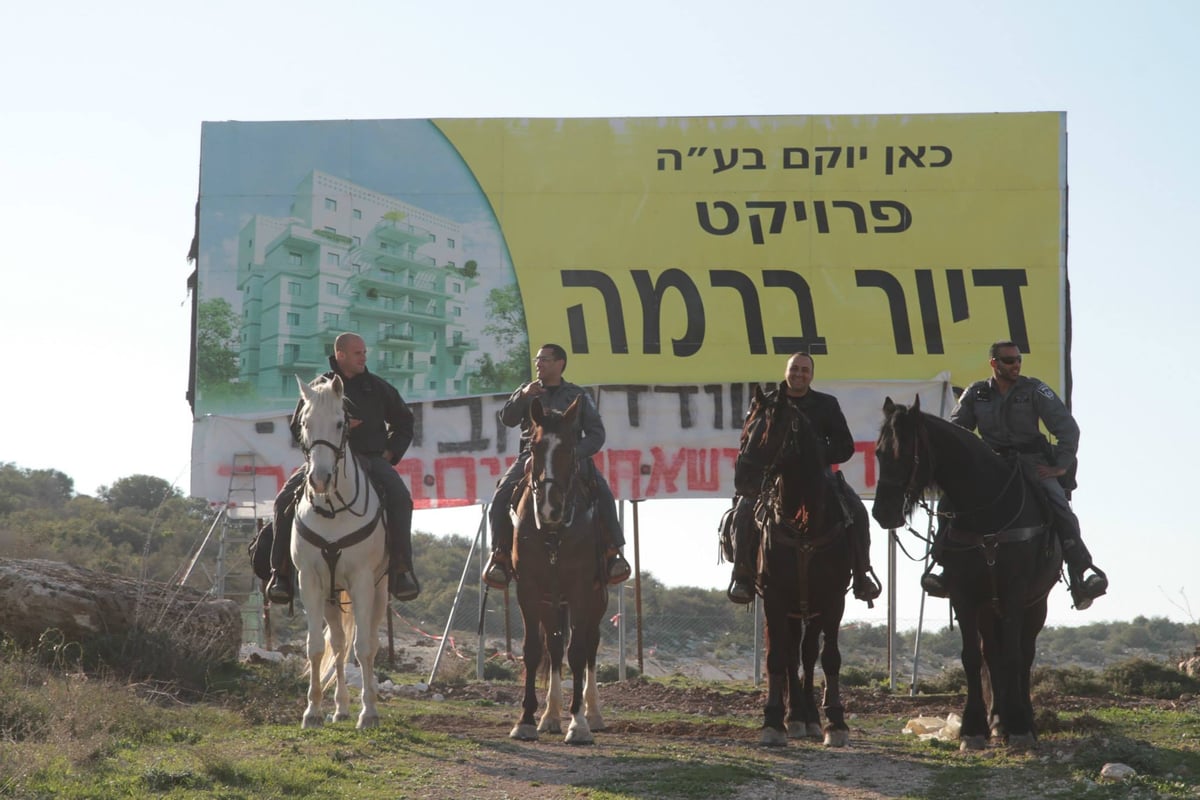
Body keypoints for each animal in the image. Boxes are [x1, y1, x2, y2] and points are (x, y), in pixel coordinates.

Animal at [291, 376, 388, 734]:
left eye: (339, 423)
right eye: (304, 423)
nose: (319, 479)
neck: (333, 510)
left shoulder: (362, 582)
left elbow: (364, 648)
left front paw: (369, 714)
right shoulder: (309, 581)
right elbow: (316, 648)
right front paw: (312, 712)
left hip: (379, 591)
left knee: (368, 643)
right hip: (333, 596)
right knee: (338, 644)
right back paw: (341, 708)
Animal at [506, 398, 609, 743]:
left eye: (568, 448)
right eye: (535, 448)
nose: (550, 508)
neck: (554, 532)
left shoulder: (580, 591)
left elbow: (577, 652)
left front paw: (578, 723)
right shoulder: (529, 590)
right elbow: (533, 650)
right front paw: (525, 720)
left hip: (596, 600)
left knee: (590, 647)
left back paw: (593, 714)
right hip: (552, 602)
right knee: (553, 647)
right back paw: (549, 716)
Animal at [734, 383, 859, 748]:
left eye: (771, 432)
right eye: (746, 427)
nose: (743, 477)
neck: (804, 524)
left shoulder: (832, 599)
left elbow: (828, 657)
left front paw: (835, 722)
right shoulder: (775, 597)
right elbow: (777, 658)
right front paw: (773, 722)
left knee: (805, 653)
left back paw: (810, 718)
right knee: (789, 654)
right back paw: (794, 717)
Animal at [873, 398, 1060, 753]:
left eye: (905, 452)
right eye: (878, 452)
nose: (882, 513)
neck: (987, 510)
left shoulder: (1015, 594)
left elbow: (1014, 657)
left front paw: (1019, 726)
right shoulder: (964, 595)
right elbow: (973, 657)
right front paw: (974, 727)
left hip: (1036, 605)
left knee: (1024, 655)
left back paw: (1023, 719)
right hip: (988, 609)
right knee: (992, 656)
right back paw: (997, 719)